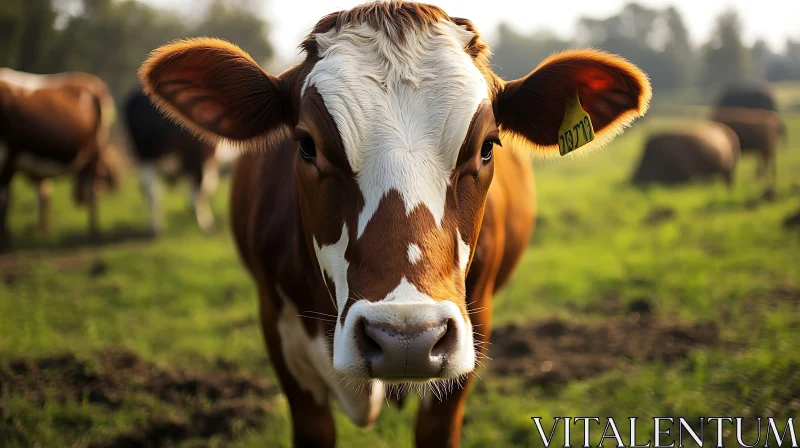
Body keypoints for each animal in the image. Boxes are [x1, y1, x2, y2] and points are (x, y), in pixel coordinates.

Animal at [0, 66, 122, 250]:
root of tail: (93, 82)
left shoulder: (8, 156)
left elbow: (5, 201)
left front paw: (6, 241)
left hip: (94, 152)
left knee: (91, 191)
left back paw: (93, 233)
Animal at [123, 86, 233, 236]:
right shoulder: (201, 159)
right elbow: (201, 191)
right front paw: (205, 223)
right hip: (156, 157)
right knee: (155, 192)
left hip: (146, 158)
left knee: (149, 191)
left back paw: (156, 227)